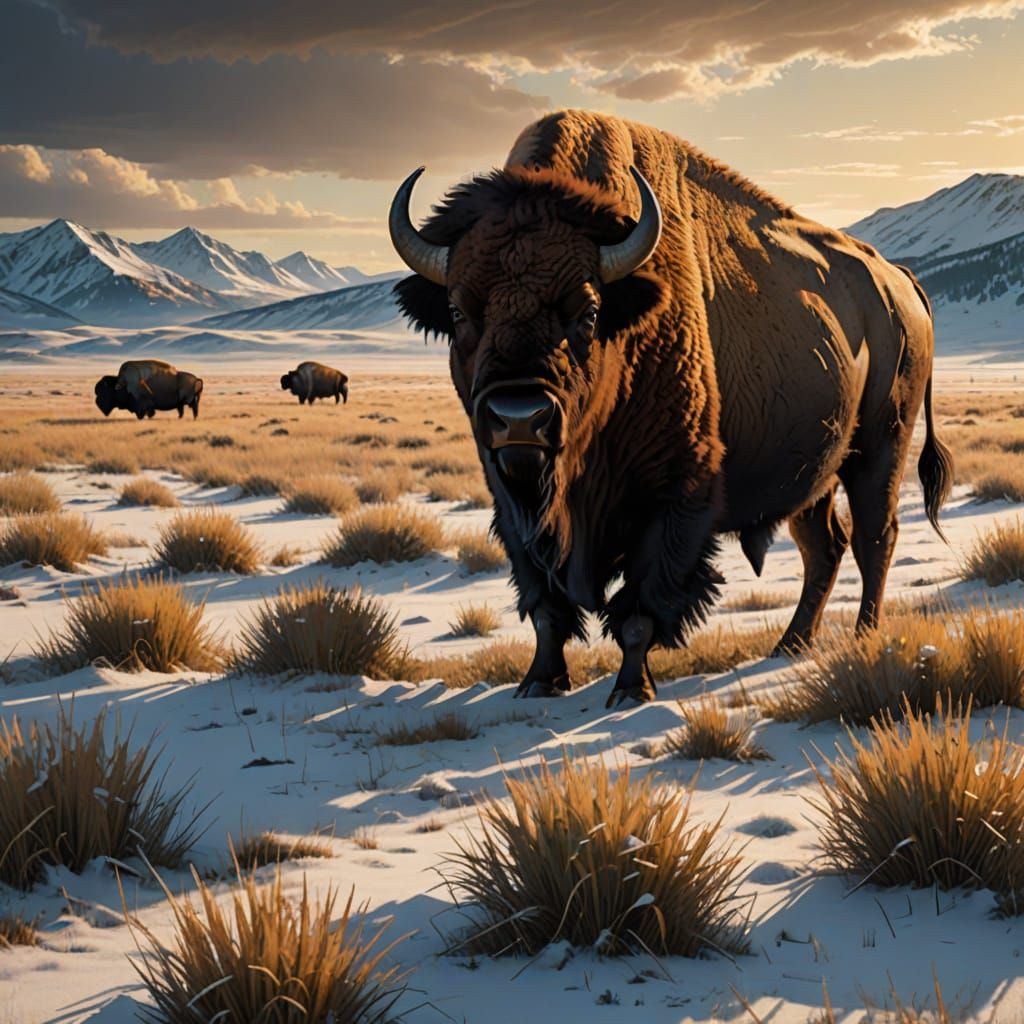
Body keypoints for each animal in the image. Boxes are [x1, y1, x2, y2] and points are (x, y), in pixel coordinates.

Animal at [389, 109, 953, 708]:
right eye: (457, 310)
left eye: (588, 310)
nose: (519, 418)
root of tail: (898, 281)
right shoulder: (513, 501)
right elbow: (545, 604)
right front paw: (539, 682)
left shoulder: (673, 495)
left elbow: (641, 607)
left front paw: (630, 691)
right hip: (816, 471)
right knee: (824, 546)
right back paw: (790, 645)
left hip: (880, 445)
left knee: (874, 537)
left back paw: (862, 638)